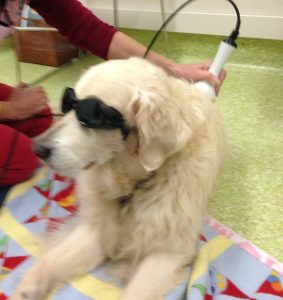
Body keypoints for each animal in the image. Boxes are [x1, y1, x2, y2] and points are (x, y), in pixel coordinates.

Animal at [11, 56, 225, 300]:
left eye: (89, 116)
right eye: (70, 103)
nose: (37, 148)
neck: (135, 185)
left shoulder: (168, 251)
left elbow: (136, 292)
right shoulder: (99, 231)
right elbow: (49, 263)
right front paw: (22, 292)